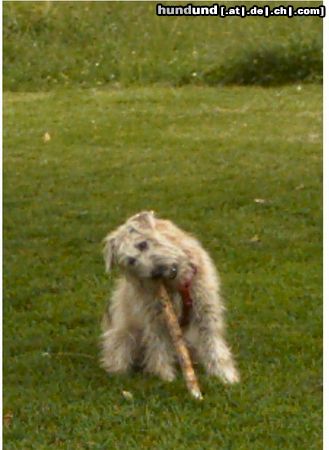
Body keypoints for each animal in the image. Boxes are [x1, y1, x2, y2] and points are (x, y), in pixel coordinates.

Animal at [100, 211, 238, 384]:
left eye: (143, 244)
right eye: (131, 261)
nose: (155, 273)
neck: (177, 285)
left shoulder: (205, 310)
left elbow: (213, 342)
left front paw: (224, 374)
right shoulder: (156, 318)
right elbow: (159, 347)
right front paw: (166, 377)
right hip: (123, 334)